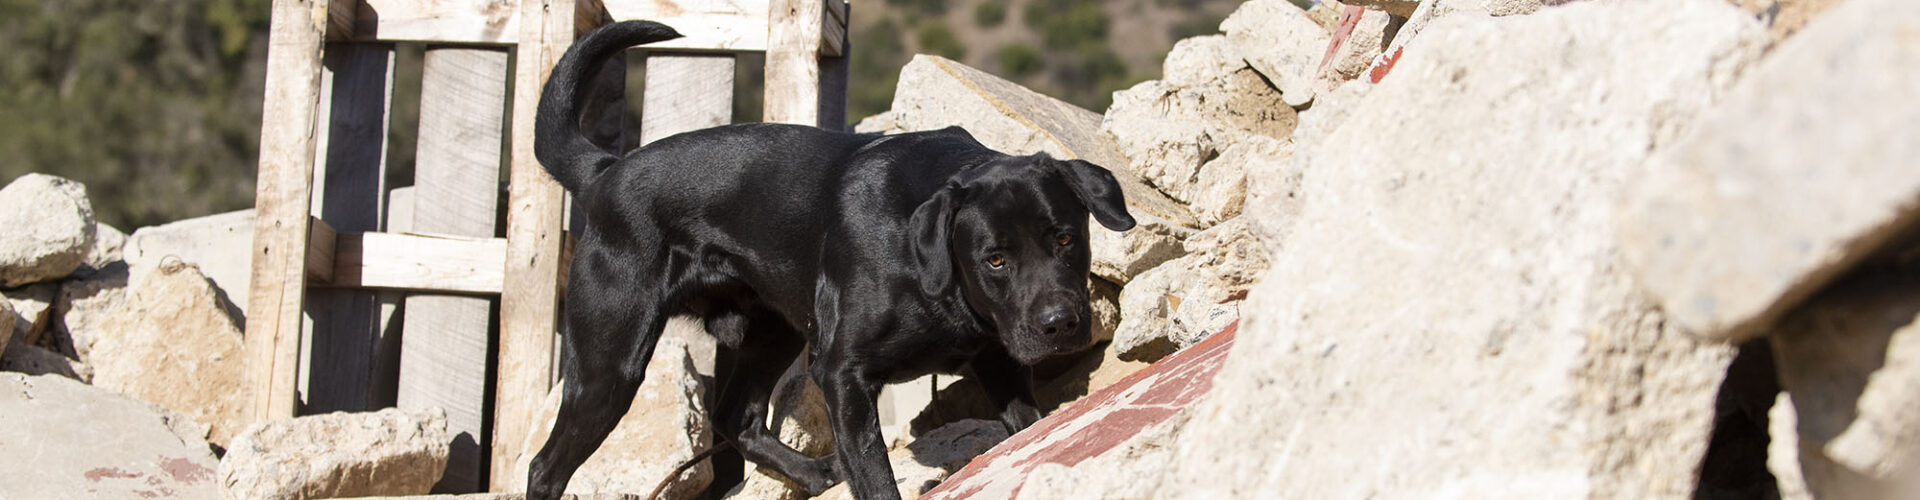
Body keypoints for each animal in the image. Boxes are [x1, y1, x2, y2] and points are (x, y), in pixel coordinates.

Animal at [526, 20, 1128, 500]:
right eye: (995, 259)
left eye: (1066, 239)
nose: (1060, 325)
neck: (930, 272)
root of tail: (604, 172)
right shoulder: (843, 375)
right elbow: (876, 477)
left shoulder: (998, 360)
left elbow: (1028, 428)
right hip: (610, 365)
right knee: (544, 468)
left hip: (773, 331)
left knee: (736, 416)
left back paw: (814, 474)